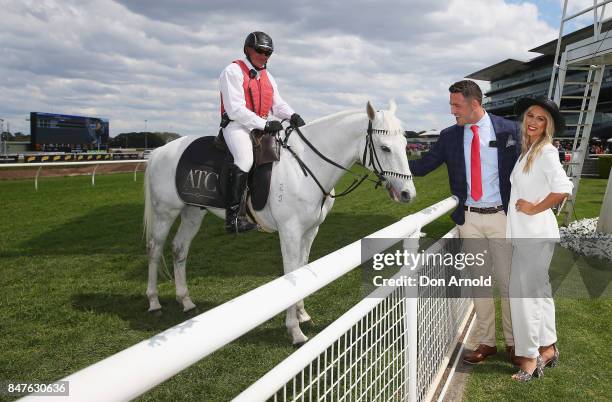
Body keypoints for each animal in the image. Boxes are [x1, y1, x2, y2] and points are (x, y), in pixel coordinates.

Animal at [143, 99, 416, 342]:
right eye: (385, 148)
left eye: (405, 144)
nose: (407, 194)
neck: (306, 166)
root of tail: (159, 151)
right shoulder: (290, 232)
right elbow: (291, 274)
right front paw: (294, 330)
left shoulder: (311, 231)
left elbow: (303, 268)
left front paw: (302, 314)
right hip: (165, 212)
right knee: (155, 249)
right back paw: (154, 301)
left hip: (193, 212)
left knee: (179, 249)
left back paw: (186, 300)